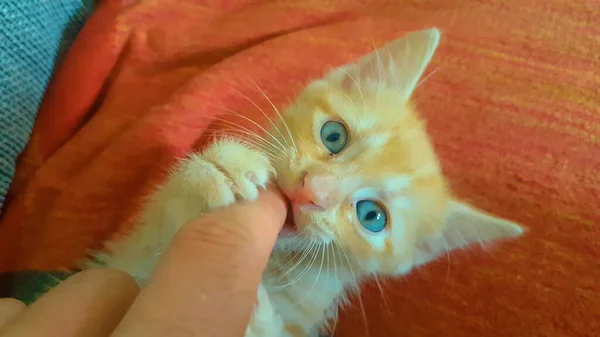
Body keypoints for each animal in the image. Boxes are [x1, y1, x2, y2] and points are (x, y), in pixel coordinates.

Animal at [86, 28, 524, 336]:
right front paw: (218, 167)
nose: (312, 190)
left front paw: (254, 320)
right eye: (333, 136)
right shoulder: (128, 257)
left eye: (372, 217)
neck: (275, 263)